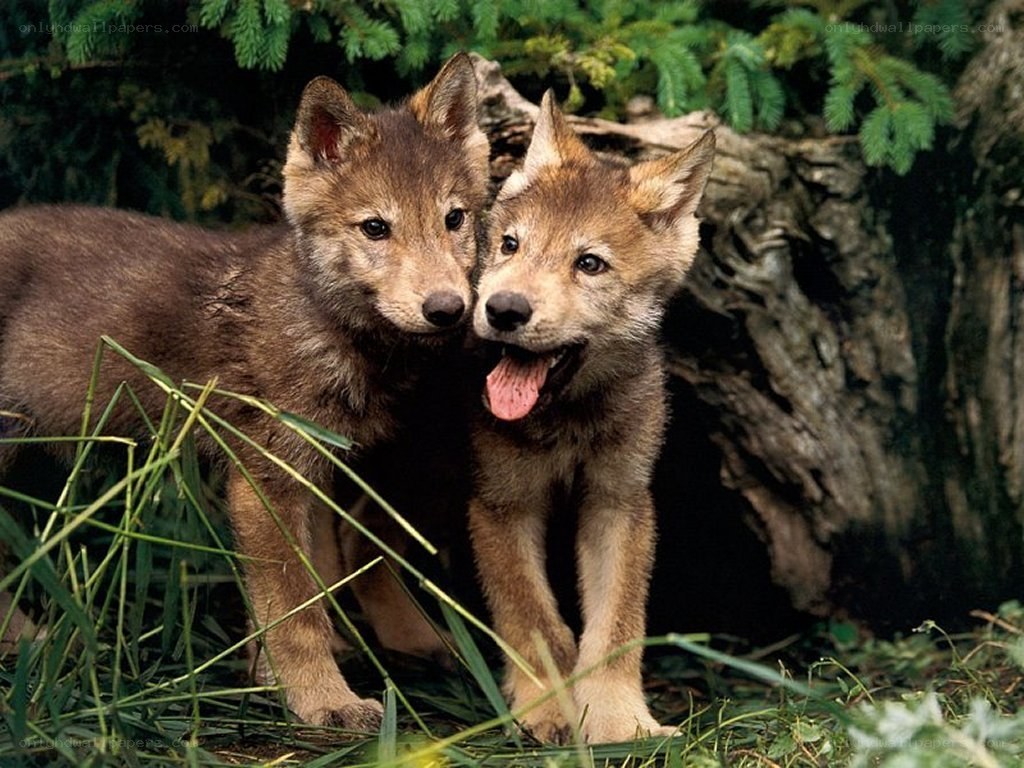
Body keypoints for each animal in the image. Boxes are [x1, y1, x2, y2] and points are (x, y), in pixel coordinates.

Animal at [0, 53, 489, 730]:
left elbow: (310, 588)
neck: (323, 328)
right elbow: (294, 612)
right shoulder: (266, 478)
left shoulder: (318, 468)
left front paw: (278, 676)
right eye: (375, 228)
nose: (447, 309)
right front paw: (322, 701)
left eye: (454, 219)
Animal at [468, 92, 715, 744]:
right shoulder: (501, 505)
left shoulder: (619, 501)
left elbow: (616, 628)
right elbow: (535, 620)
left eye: (590, 264)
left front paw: (618, 720)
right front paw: (546, 710)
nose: (503, 309)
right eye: (510, 245)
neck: (569, 421)